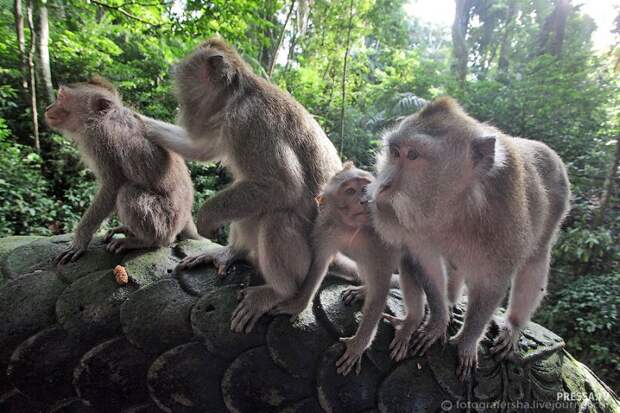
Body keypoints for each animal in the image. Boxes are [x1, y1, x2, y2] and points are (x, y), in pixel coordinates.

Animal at [46, 76, 196, 264]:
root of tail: (186, 217)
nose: (48, 108)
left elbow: (112, 185)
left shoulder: (101, 141)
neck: (100, 118)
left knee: (127, 192)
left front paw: (80, 240)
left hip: (166, 223)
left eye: (61, 98)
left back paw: (145, 241)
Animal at [139, 38, 344, 334]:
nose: (180, 105)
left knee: (277, 217)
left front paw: (206, 216)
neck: (238, 96)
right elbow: (201, 148)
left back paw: (279, 291)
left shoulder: (250, 123)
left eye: (184, 82)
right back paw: (233, 252)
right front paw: (134, 120)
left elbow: (284, 185)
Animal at [274, 163, 426, 374]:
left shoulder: (380, 243)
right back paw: (363, 290)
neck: (351, 228)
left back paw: (410, 323)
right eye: (350, 191)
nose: (365, 198)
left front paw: (357, 345)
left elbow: (380, 290)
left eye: (366, 186)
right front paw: (298, 304)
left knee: (408, 269)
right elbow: (320, 263)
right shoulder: (326, 228)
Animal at [370, 96, 568, 380]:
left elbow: (491, 282)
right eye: (395, 152)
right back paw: (451, 302)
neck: (456, 205)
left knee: (536, 261)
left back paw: (514, 325)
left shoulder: (503, 225)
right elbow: (427, 264)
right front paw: (437, 321)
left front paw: (467, 341)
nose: (384, 185)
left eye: (413, 155)